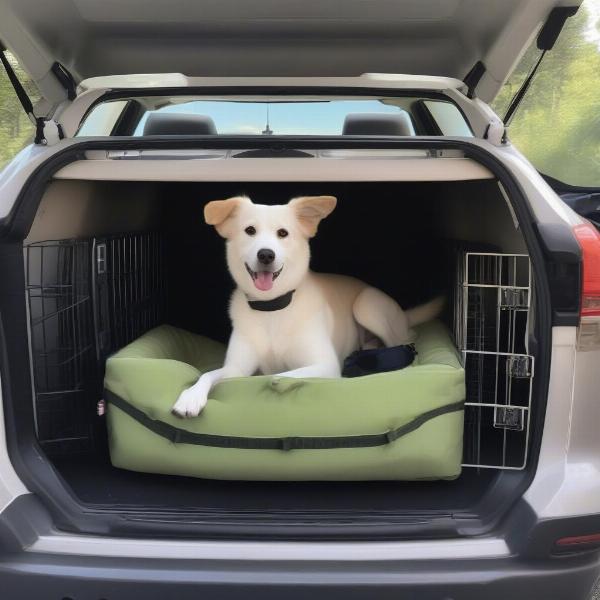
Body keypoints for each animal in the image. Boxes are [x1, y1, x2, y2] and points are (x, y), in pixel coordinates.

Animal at [171, 197, 442, 418]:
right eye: (249, 230)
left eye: (283, 233)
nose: (266, 255)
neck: (272, 309)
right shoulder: (235, 367)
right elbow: (209, 374)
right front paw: (190, 397)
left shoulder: (325, 365)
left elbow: (279, 375)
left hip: (367, 306)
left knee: (404, 340)